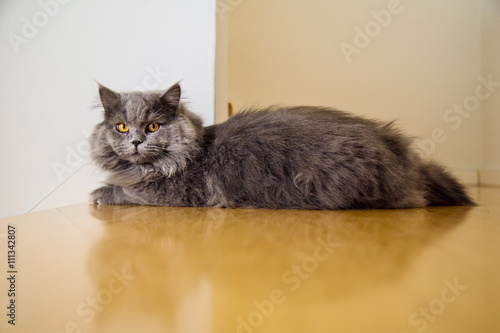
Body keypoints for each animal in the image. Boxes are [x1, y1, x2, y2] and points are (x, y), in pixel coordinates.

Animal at [90, 82, 476, 209]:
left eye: (153, 126)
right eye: (122, 127)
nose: (136, 141)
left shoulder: (175, 194)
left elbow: (126, 192)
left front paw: (99, 193)